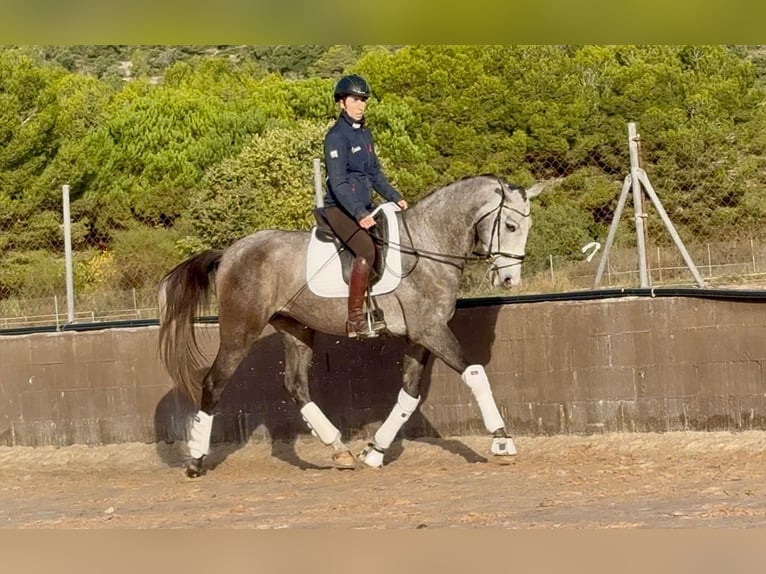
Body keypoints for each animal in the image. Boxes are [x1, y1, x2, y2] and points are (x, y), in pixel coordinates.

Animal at [158, 174, 547, 477]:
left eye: (527, 228)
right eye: (511, 226)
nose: (510, 280)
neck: (428, 245)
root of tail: (229, 253)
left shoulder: (420, 336)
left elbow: (408, 396)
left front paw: (374, 452)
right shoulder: (431, 331)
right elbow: (475, 373)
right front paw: (502, 441)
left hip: (296, 329)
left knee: (296, 386)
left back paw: (339, 449)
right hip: (240, 331)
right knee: (213, 383)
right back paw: (196, 461)